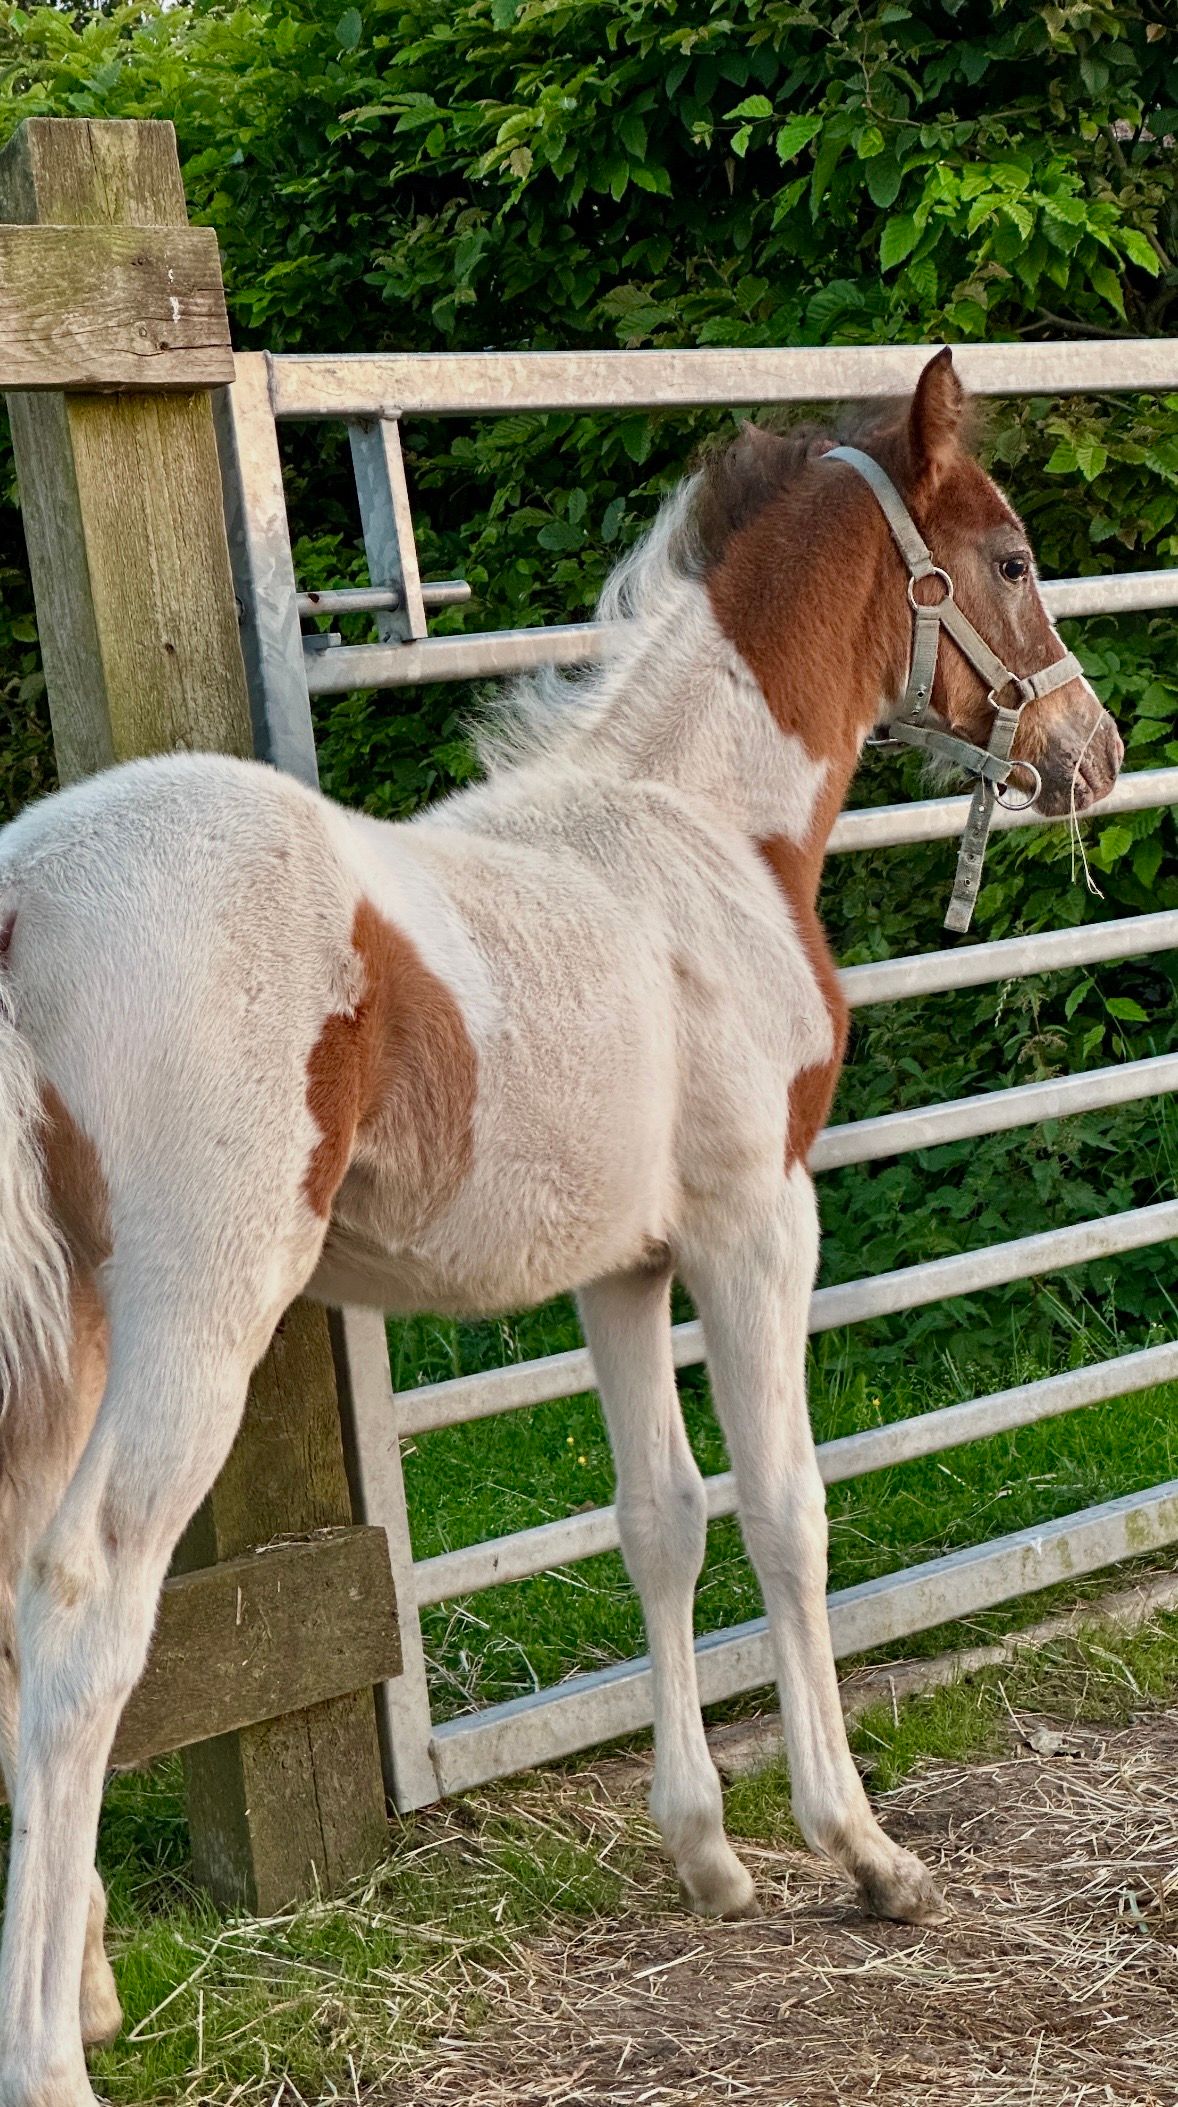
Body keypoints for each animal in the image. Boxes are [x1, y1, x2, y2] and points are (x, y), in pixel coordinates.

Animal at [0, 348, 1122, 2106]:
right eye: (1006, 556)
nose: (1095, 747)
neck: (698, 828)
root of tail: (19, 899)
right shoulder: (756, 1220)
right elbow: (787, 1510)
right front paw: (860, 1847)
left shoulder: (624, 1263)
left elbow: (656, 1516)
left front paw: (708, 1855)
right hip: (196, 1311)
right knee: (82, 1602)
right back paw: (51, 2048)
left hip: (69, 1330)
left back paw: (98, 1979)